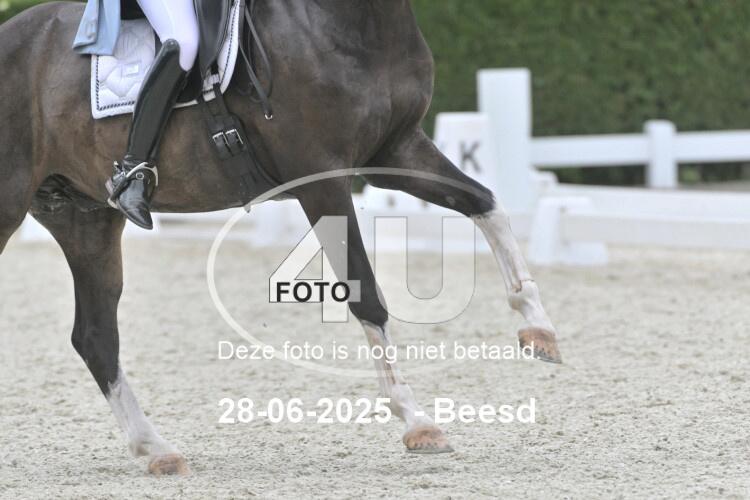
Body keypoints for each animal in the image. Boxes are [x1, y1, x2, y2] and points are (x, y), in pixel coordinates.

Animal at [0, 0, 562, 475]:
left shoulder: (397, 150)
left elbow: (486, 204)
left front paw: (538, 329)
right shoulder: (323, 179)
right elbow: (366, 294)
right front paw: (417, 421)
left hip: (87, 219)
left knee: (96, 336)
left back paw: (156, 449)